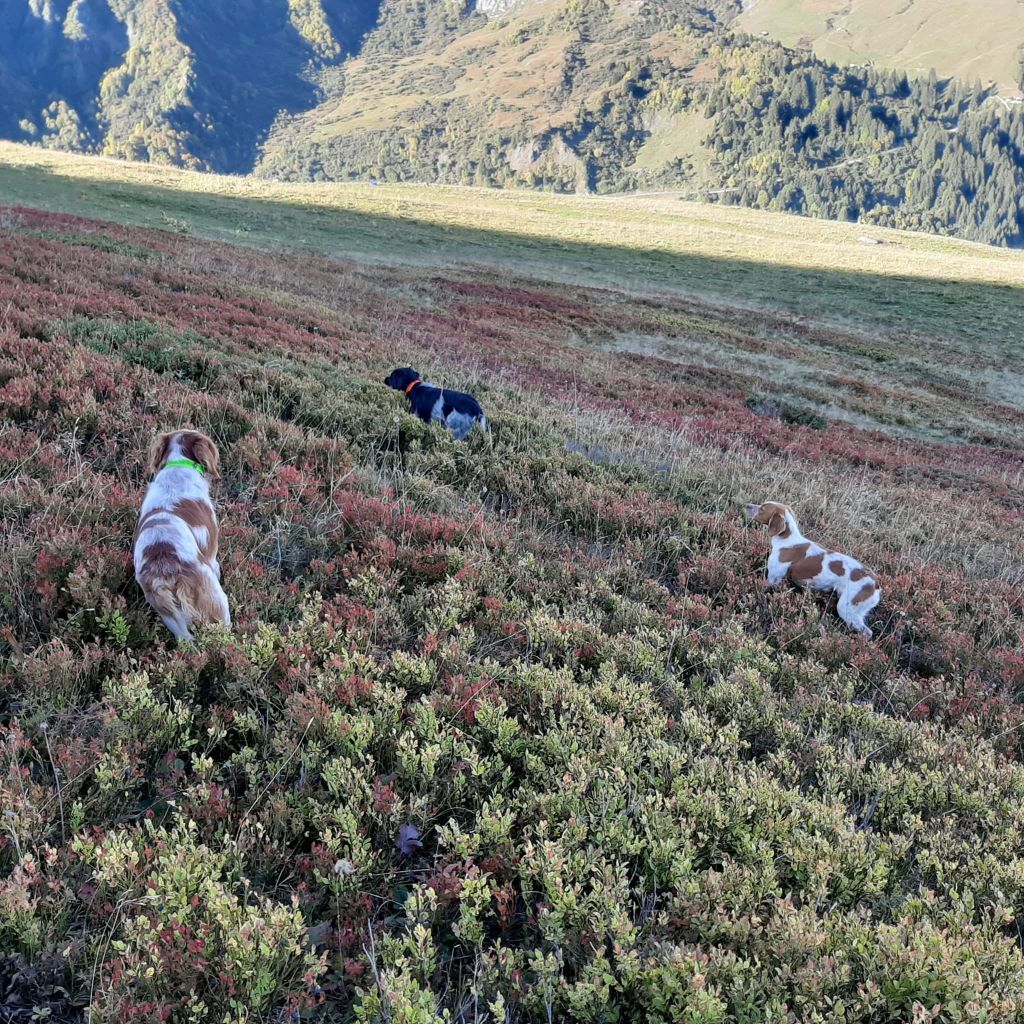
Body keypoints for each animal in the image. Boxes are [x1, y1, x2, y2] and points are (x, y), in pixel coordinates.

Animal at [745, 499, 880, 634]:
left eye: (762, 509)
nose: (746, 505)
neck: (788, 540)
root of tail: (875, 584)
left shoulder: (773, 578)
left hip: (847, 608)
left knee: (867, 632)